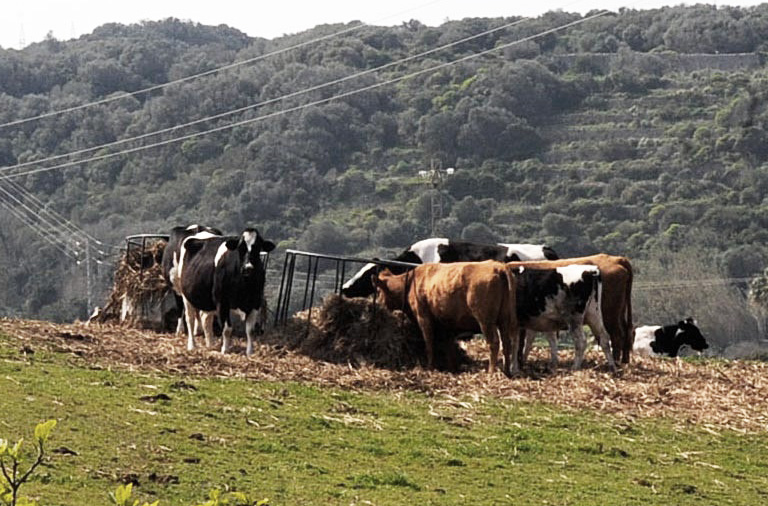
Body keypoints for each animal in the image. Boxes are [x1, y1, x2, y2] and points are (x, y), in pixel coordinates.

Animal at [374, 260, 520, 376]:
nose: (379, 305)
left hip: (485, 320)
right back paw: (507, 371)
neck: (411, 283)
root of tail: (498, 266)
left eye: (379, 291)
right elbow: (448, 345)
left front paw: (430, 367)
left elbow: (429, 343)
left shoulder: (423, 317)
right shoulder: (447, 323)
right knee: (507, 343)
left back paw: (491, 371)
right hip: (504, 319)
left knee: (494, 342)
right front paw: (452, 368)